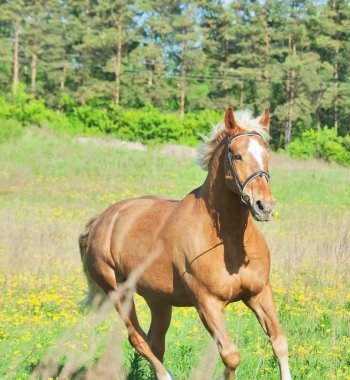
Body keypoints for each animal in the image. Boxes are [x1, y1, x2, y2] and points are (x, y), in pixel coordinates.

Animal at [79, 107, 292, 380]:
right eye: (237, 155)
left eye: (266, 154)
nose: (264, 206)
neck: (229, 241)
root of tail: (99, 221)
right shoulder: (207, 303)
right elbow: (231, 356)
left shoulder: (259, 293)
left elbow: (279, 342)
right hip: (118, 292)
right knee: (138, 339)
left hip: (158, 299)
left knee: (155, 341)